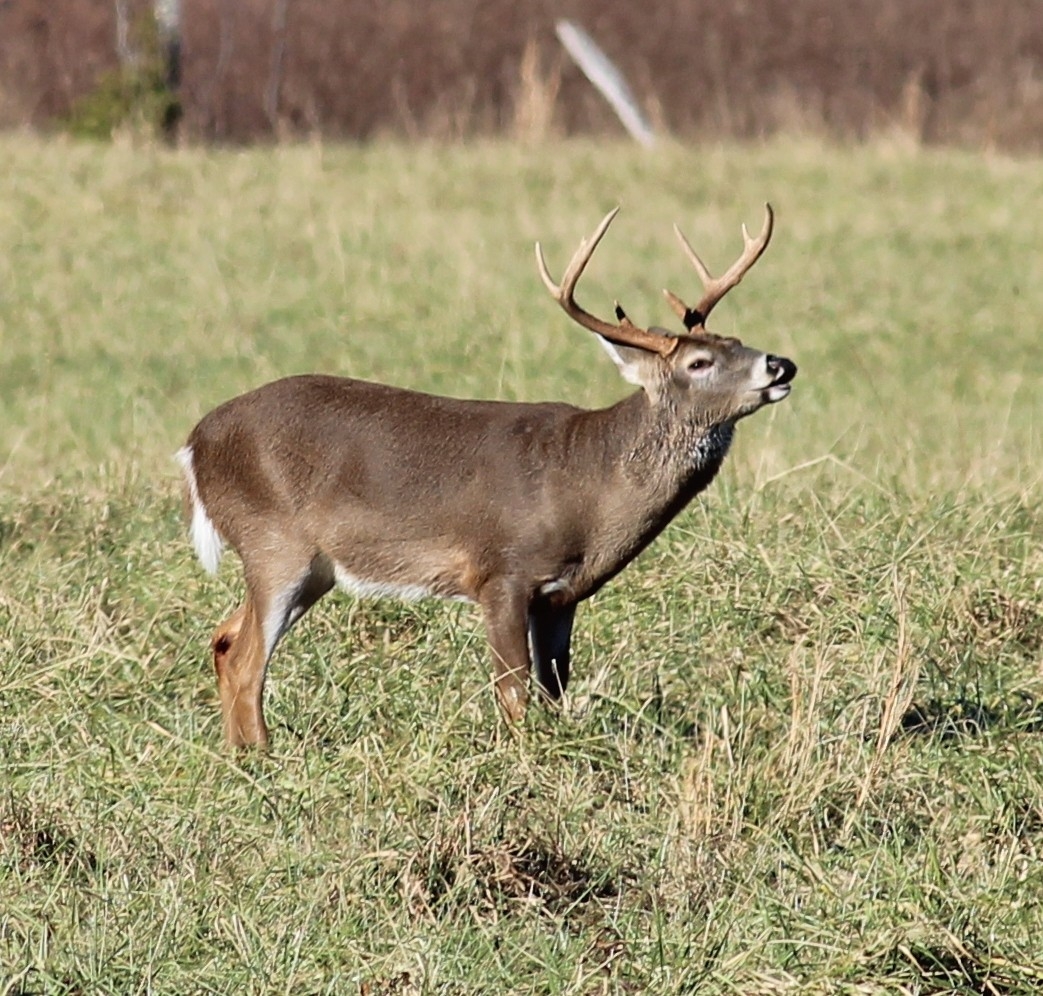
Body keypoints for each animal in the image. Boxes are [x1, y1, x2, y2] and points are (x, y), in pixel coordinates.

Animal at [181, 206, 796, 742]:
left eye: (735, 341)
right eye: (699, 363)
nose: (781, 364)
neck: (589, 484)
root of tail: (194, 443)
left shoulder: (560, 596)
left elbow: (554, 690)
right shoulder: (501, 571)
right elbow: (514, 693)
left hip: (313, 567)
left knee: (224, 638)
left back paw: (239, 753)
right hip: (274, 541)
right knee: (246, 659)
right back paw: (264, 757)